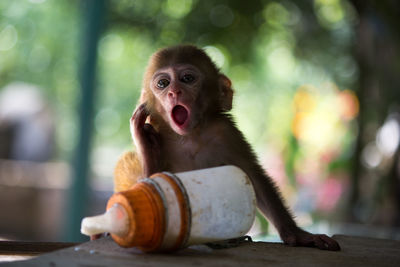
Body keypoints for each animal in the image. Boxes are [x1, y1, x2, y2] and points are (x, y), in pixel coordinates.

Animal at [113, 45, 340, 252]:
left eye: (187, 78)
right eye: (163, 83)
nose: (173, 92)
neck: (190, 136)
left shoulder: (226, 132)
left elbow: (252, 176)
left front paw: (296, 235)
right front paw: (145, 143)